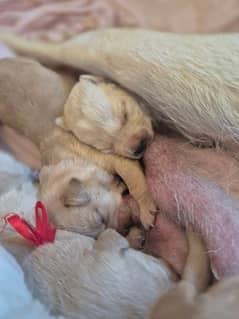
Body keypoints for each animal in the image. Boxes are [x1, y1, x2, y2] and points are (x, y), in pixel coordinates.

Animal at [0, 57, 155, 232]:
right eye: (106, 147)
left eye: (125, 114)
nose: (139, 147)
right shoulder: (114, 158)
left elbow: (133, 179)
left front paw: (145, 210)